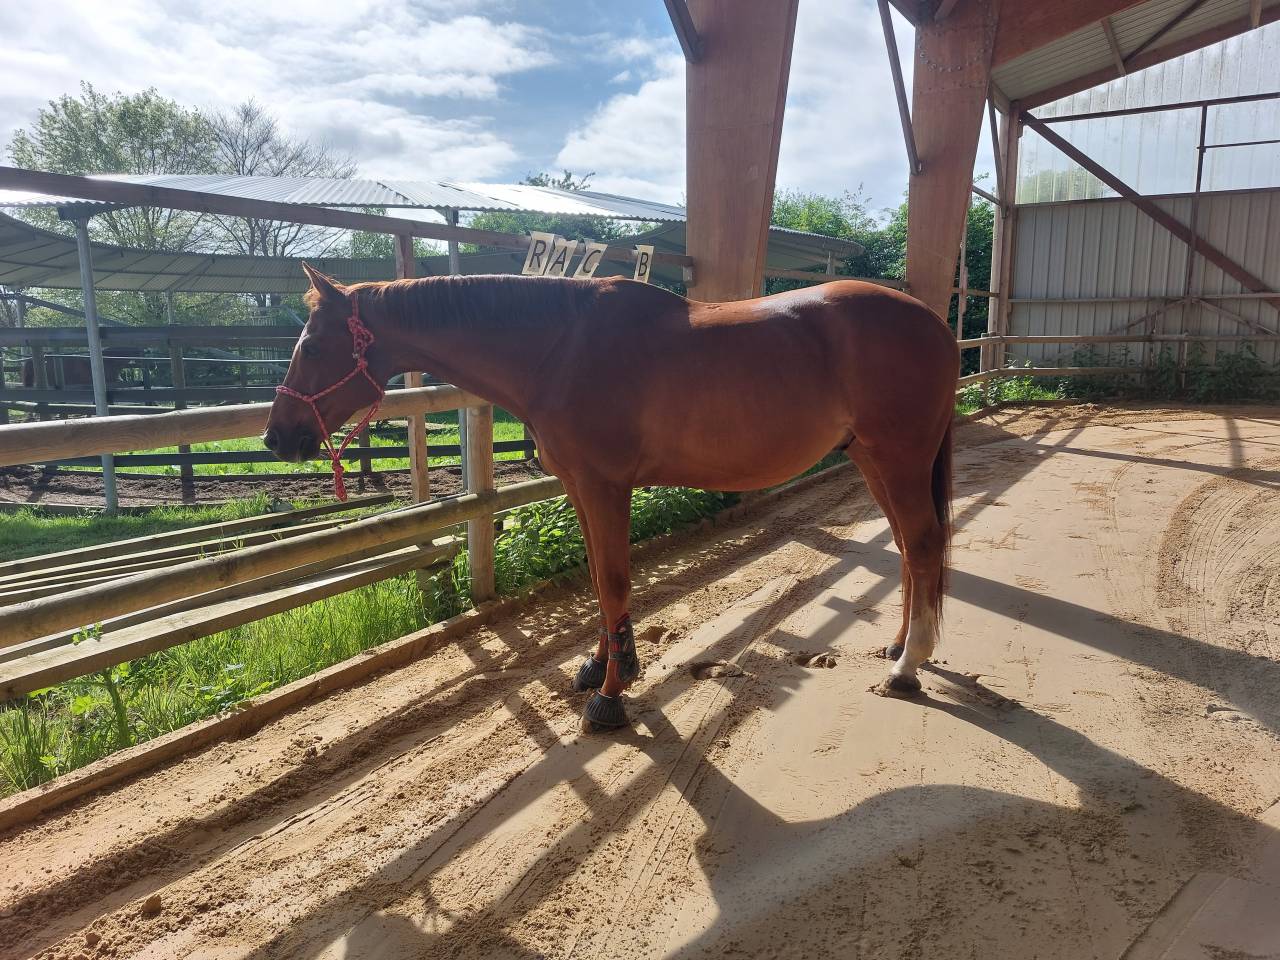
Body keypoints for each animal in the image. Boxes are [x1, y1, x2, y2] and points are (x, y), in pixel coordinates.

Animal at [265, 264, 959, 732]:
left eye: (313, 344)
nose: (277, 436)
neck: (560, 347)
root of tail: (934, 322)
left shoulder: (605, 485)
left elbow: (617, 579)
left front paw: (611, 696)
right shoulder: (581, 485)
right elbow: (600, 576)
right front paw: (599, 668)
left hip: (898, 458)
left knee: (924, 543)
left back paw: (907, 668)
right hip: (872, 459)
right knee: (907, 546)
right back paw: (899, 646)